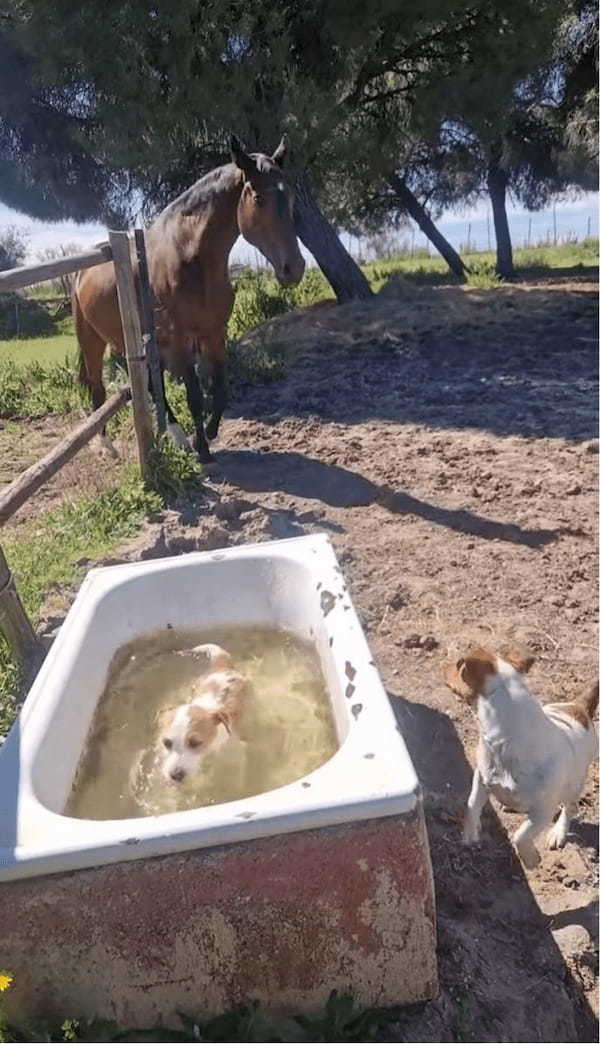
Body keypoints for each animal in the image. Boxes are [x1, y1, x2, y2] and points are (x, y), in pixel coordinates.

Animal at [74, 137, 304, 457]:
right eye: (259, 199)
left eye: (291, 197)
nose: (294, 268)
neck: (189, 257)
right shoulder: (180, 340)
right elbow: (194, 394)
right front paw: (202, 448)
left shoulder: (215, 333)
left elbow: (219, 390)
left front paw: (208, 432)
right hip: (94, 341)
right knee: (98, 387)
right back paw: (108, 447)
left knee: (149, 383)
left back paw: (175, 436)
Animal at [444, 647, 596, 868]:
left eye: (457, 664)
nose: (442, 666)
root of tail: (580, 708)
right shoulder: (481, 780)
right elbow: (471, 806)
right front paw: (470, 834)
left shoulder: (543, 811)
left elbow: (521, 835)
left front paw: (530, 858)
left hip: (572, 788)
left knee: (570, 809)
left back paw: (557, 833)